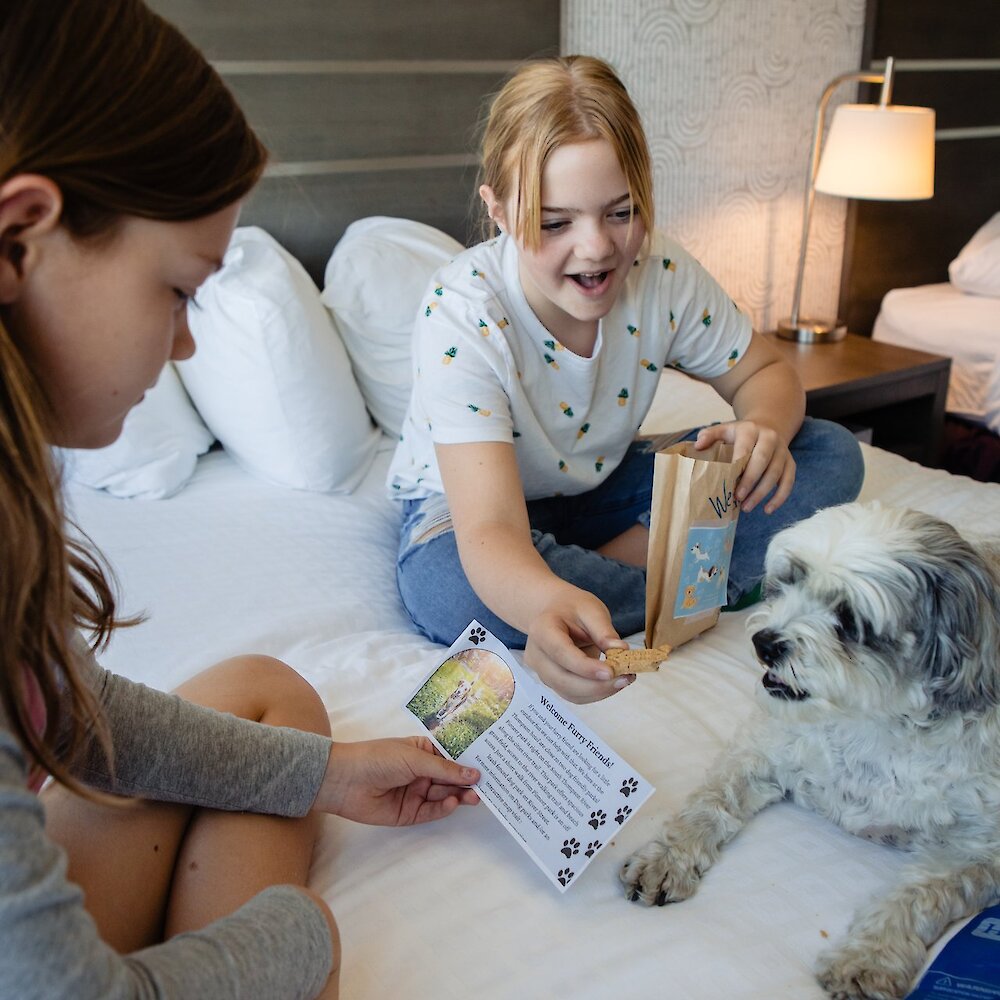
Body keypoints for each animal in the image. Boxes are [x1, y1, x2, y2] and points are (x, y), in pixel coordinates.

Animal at [616, 504, 1000, 1000]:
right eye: (792, 580)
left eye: (850, 620)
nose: (764, 643)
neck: (869, 722)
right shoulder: (761, 751)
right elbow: (708, 804)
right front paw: (666, 859)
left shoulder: (979, 850)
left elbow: (918, 896)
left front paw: (868, 959)